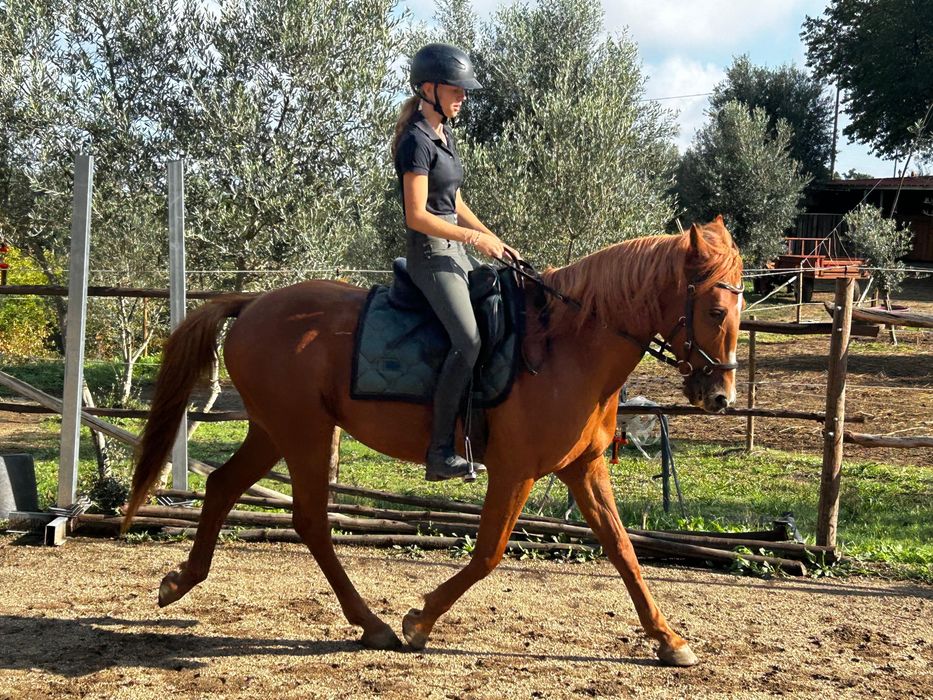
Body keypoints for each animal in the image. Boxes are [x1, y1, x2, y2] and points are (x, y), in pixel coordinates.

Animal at [123, 216, 743, 667]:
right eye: (715, 310)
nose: (720, 396)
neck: (566, 346)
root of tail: (253, 304)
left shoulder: (584, 468)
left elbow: (623, 550)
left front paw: (670, 640)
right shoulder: (515, 471)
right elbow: (489, 552)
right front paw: (418, 622)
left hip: (275, 430)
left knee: (225, 487)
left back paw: (180, 582)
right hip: (303, 432)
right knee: (310, 520)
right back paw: (372, 624)